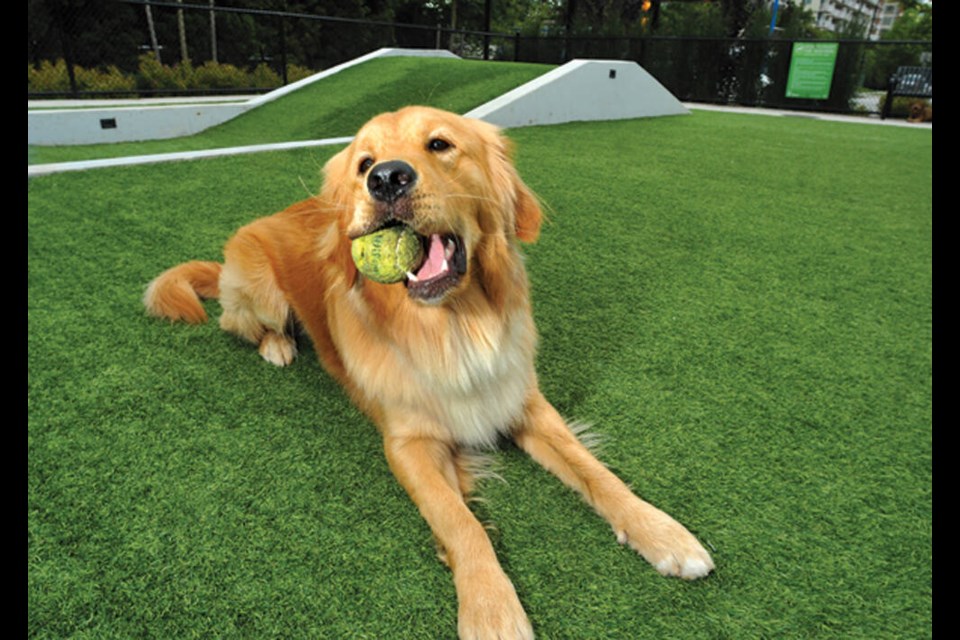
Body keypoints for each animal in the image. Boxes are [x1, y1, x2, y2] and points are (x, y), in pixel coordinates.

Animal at [144, 105, 712, 636]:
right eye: (364, 163)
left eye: (439, 144)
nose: (386, 179)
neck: (455, 327)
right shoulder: (409, 444)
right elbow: (460, 522)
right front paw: (490, 606)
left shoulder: (523, 402)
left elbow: (597, 473)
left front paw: (661, 531)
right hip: (257, 289)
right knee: (237, 322)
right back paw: (278, 346)